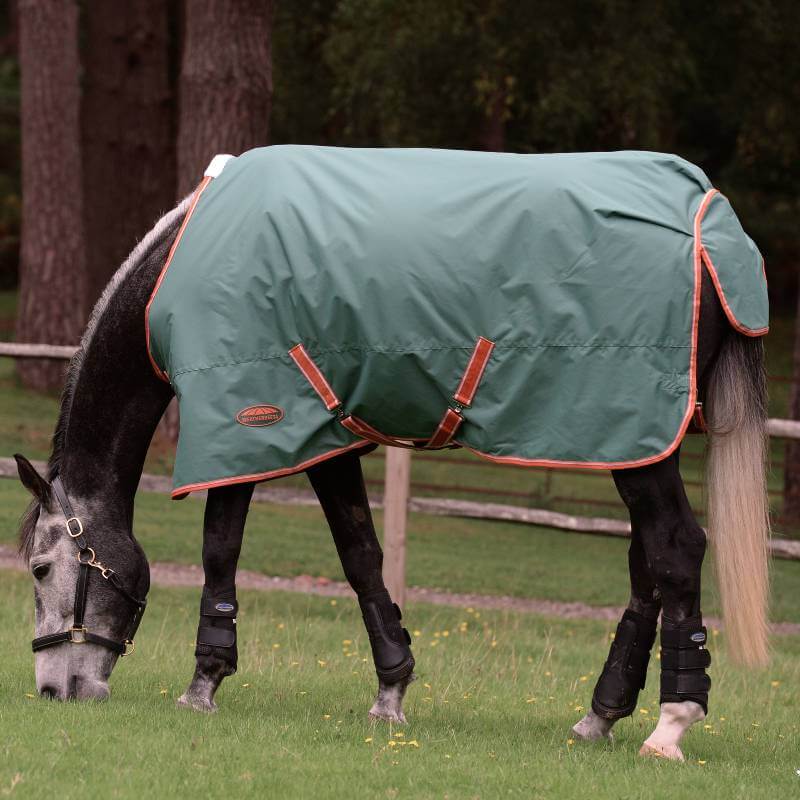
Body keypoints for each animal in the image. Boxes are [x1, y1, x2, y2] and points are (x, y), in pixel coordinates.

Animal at [15, 146, 769, 762]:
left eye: (42, 568)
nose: (55, 691)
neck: (188, 260)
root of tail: (711, 227)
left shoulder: (246, 427)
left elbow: (221, 549)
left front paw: (203, 683)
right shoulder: (321, 437)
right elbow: (361, 555)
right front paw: (391, 690)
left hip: (637, 442)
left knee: (675, 550)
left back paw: (670, 724)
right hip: (629, 443)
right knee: (647, 565)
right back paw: (600, 716)